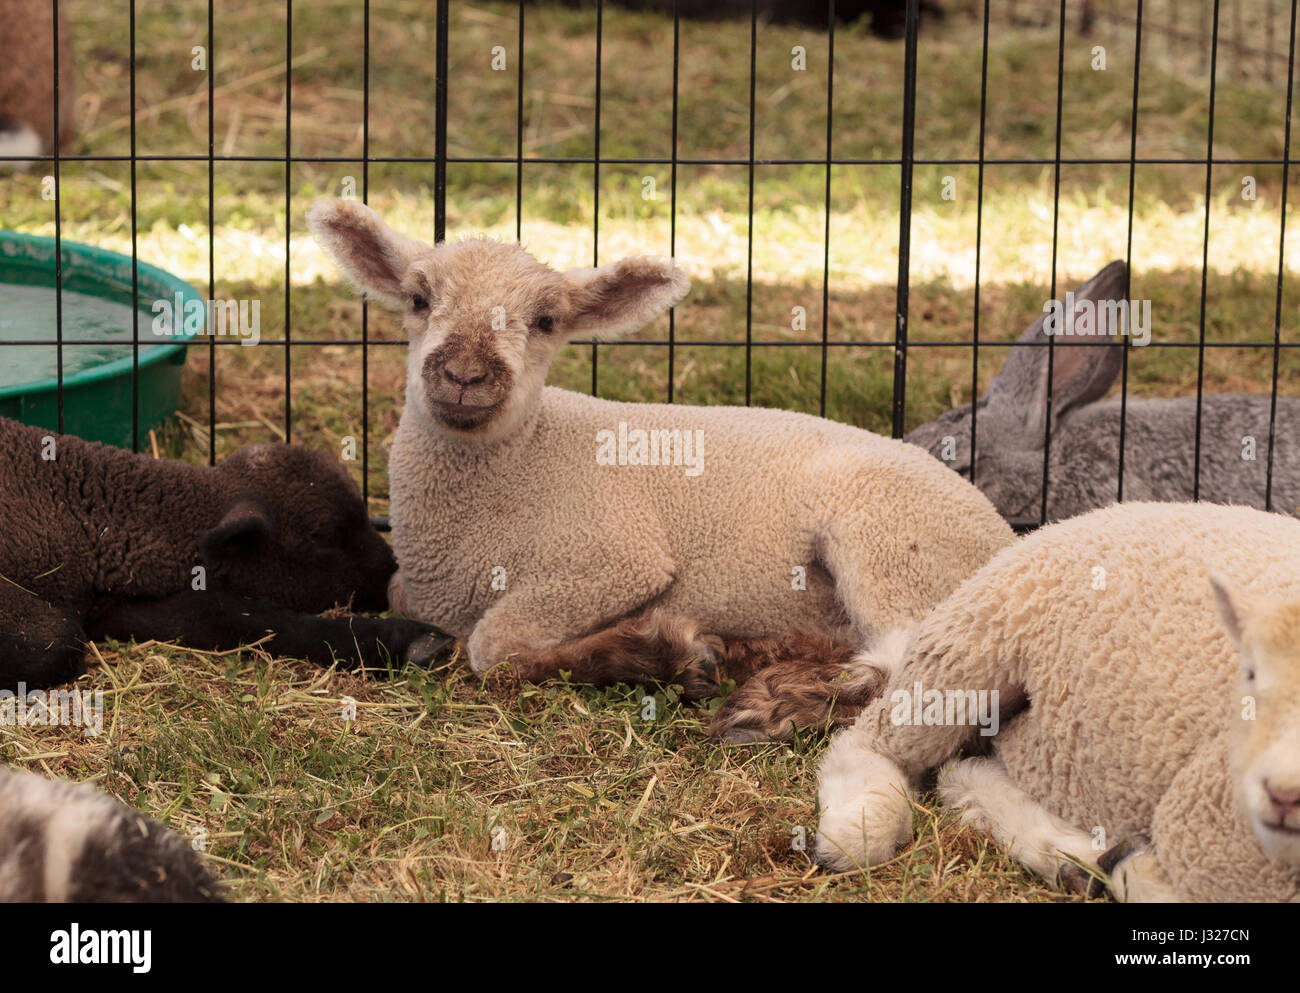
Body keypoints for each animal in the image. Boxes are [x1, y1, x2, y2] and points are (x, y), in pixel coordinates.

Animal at [0, 415, 453, 692]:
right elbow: (57, 640)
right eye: (325, 536)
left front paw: (411, 642)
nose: (391, 573)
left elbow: (240, 617)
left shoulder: (117, 604)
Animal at [307, 198, 1014, 742]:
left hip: (892, 541)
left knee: (913, 666)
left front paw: (655, 656)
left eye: (546, 321)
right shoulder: (421, 587)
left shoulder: (612, 561)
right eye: (418, 298)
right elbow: (409, 599)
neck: (523, 463)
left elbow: (494, 647)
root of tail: (1004, 538)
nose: (463, 375)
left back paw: (775, 707)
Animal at [813, 501, 1300, 902]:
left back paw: (1076, 856)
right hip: (971, 642)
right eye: (1251, 673)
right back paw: (856, 827)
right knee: (874, 743)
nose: (1282, 794)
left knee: (961, 767)